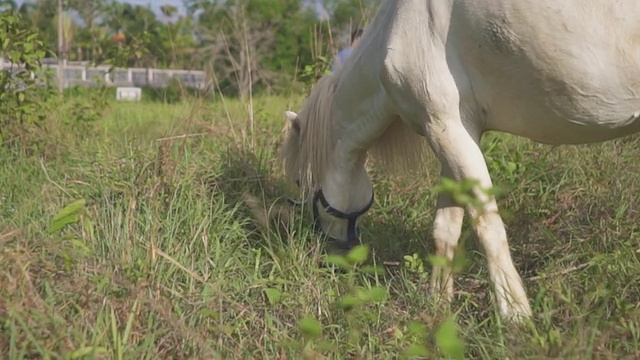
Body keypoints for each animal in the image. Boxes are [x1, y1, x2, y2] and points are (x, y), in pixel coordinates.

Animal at [280, 0, 640, 320]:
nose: (329, 255)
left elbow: (486, 225)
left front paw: (515, 315)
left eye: (301, 182)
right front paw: (438, 305)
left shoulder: (446, 128)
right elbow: (446, 228)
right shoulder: (454, 130)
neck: (398, 28)